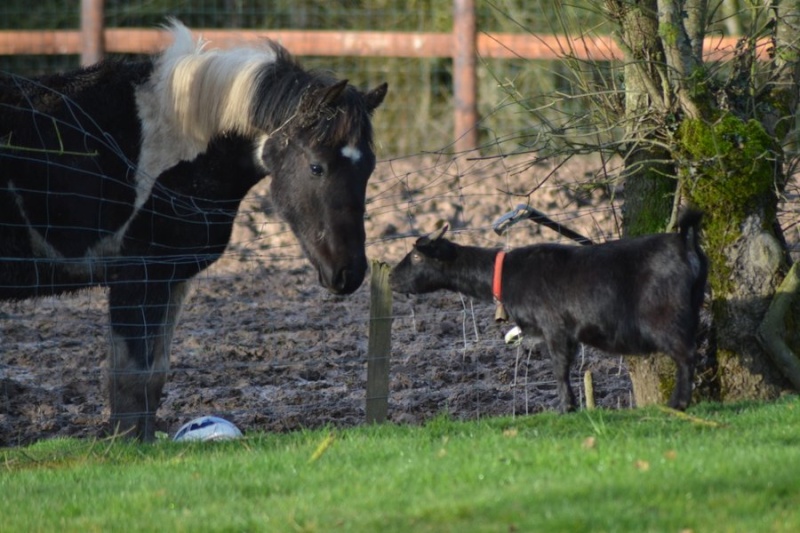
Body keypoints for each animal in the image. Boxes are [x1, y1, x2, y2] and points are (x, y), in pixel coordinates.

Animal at [0, 20, 388, 440]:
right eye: (317, 167)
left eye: (368, 169)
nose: (348, 273)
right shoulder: (138, 278)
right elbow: (130, 380)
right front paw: (124, 445)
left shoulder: (172, 279)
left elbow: (153, 377)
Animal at [390, 212, 708, 412]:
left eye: (416, 256)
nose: (391, 276)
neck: (506, 273)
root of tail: (685, 243)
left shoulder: (554, 326)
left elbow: (559, 366)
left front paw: (565, 407)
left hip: (667, 316)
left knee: (686, 354)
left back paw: (678, 404)